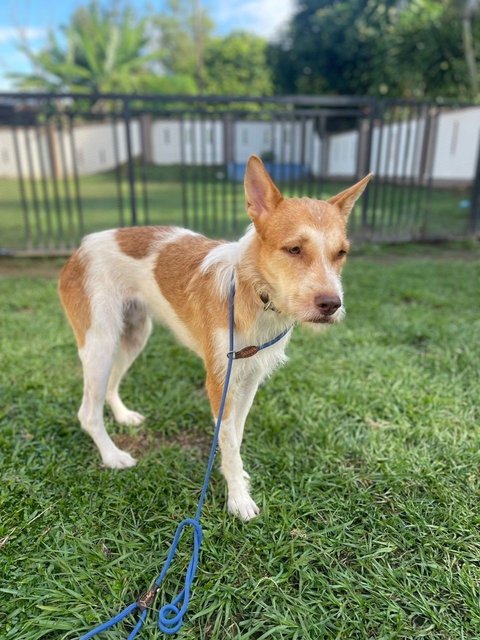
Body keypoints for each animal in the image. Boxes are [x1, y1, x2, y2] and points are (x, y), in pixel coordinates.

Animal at [57, 155, 372, 520]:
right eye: (294, 249)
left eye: (341, 254)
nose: (332, 305)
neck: (256, 293)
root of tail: (81, 248)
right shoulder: (219, 381)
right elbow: (229, 439)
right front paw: (238, 499)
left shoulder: (249, 378)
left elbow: (235, 435)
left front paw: (236, 477)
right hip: (100, 343)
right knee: (87, 412)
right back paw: (112, 455)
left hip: (134, 335)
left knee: (110, 386)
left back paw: (123, 416)